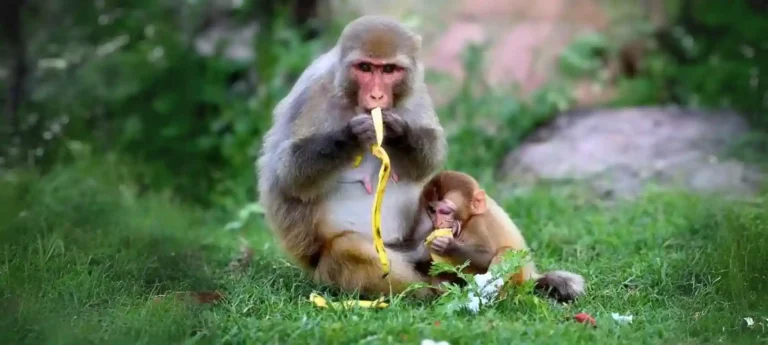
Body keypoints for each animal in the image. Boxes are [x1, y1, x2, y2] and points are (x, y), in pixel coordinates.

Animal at [258, 15, 448, 296]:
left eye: (389, 70)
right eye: (365, 68)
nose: (377, 95)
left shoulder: (415, 90)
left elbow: (430, 156)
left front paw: (397, 132)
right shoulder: (313, 92)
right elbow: (287, 173)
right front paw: (351, 136)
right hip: (331, 267)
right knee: (350, 250)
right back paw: (425, 292)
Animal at [424, 171, 584, 302]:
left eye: (445, 211)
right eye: (433, 211)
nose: (438, 222)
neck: (468, 220)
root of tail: (530, 278)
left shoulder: (479, 223)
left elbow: (487, 256)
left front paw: (448, 246)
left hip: (516, 279)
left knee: (506, 251)